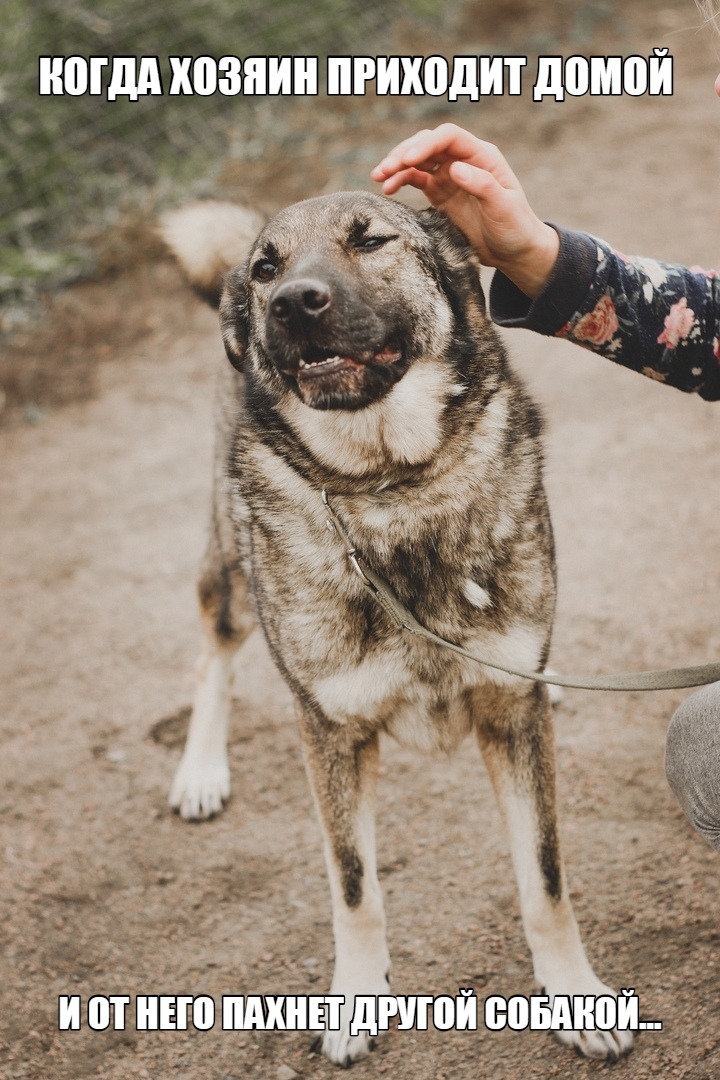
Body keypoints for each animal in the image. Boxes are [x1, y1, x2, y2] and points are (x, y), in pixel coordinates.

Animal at [161, 192, 630, 1062]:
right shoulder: (331, 735)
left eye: (371, 240)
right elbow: (354, 887)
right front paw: (354, 999)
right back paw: (200, 768)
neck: (389, 484)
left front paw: (576, 994)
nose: (290, 303)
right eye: (267, 266)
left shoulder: (514, 718)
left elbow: (544, 877)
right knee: (214, 655)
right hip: (231, 572)